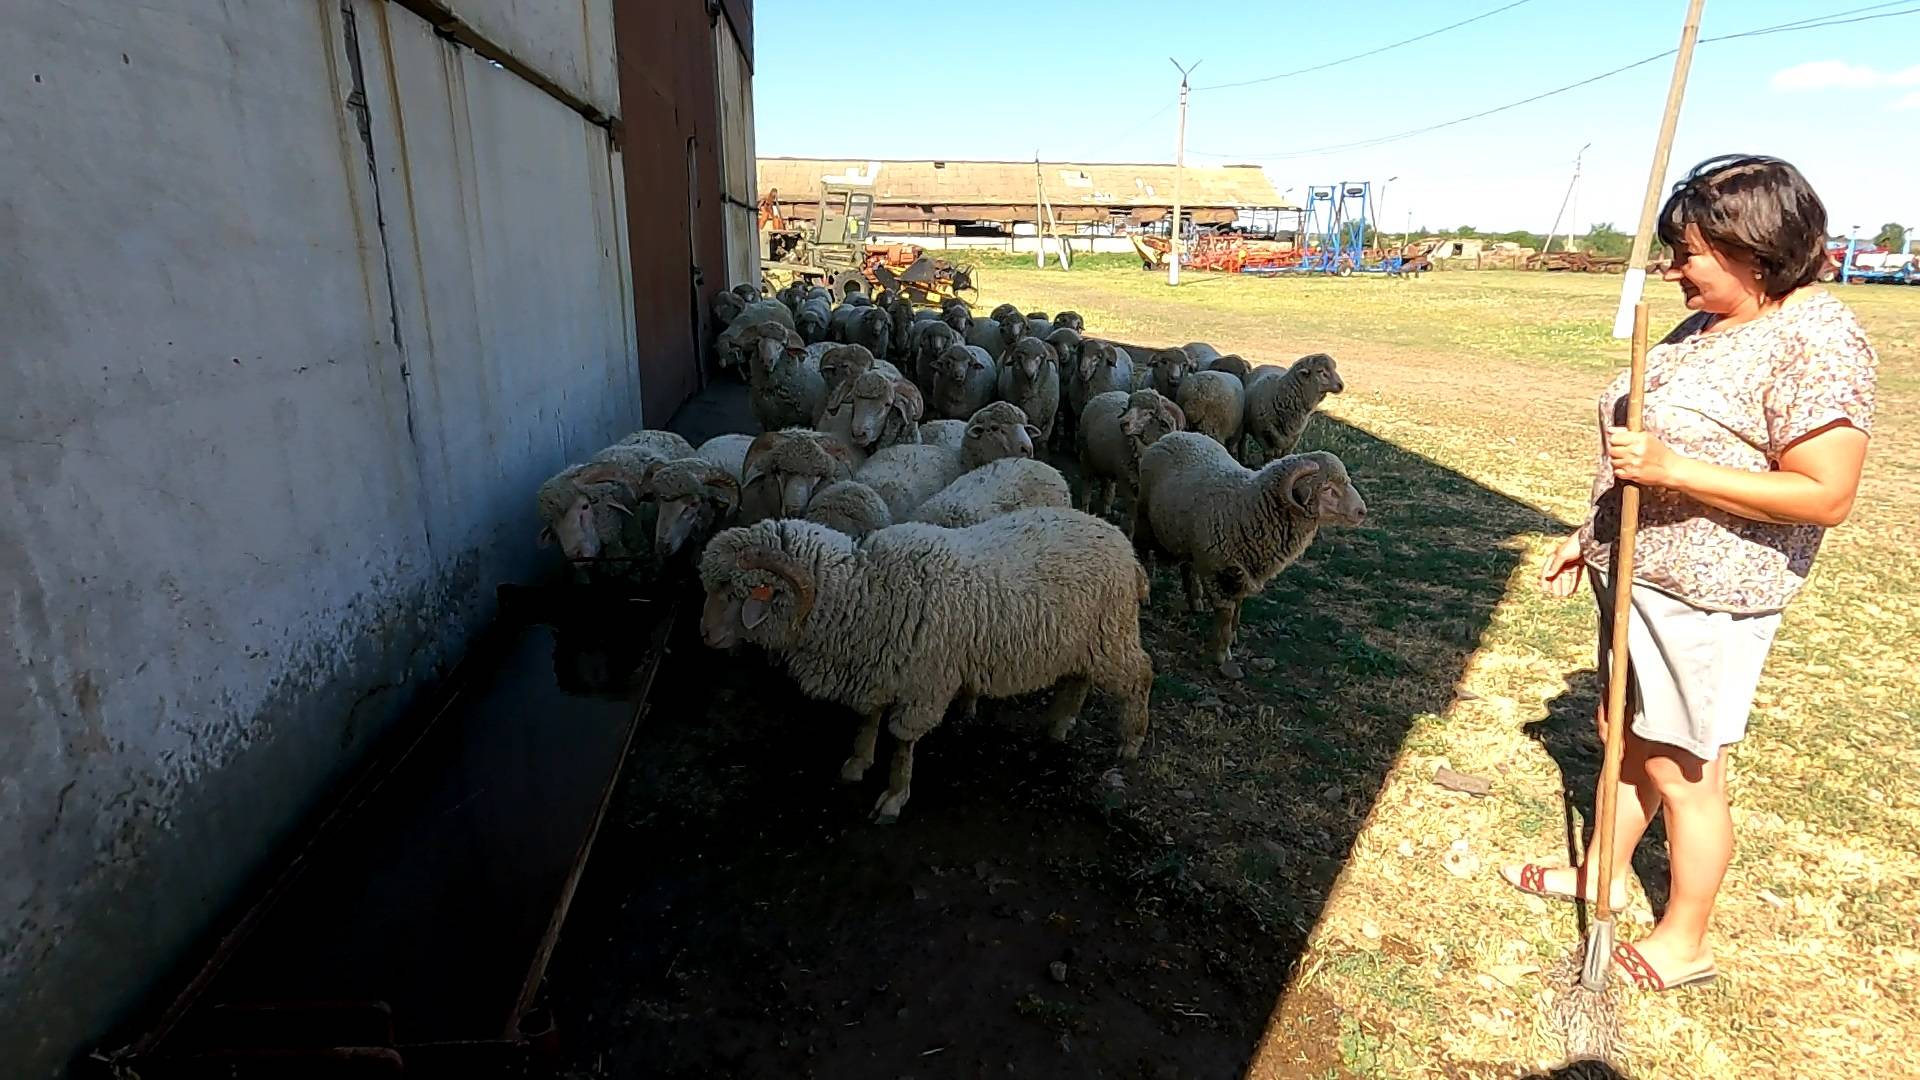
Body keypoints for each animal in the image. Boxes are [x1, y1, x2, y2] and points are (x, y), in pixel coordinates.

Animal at [696, 509, 1154, 822]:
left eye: (735, 592)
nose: (704, 635)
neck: (868, 594)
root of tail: (1126, 548)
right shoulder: (877, 670)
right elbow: (868, 720)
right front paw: (856, 763)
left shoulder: (924, 686)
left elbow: (902, 742)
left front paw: (894, 797)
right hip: (1084, 642)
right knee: (1078, 680)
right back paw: (1059, 724)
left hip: (1112, 635)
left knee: (1141, 675)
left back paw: (1131, 742)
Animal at [1076, 389, 1185, 522]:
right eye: (1130, 407)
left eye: (1149, 413)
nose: (1123, 423)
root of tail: (1105, 394)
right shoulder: (1126, 480)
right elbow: (1133, 511)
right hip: (1086, 456)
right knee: (1087, 484)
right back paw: (1085, 509)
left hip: (1107, 463)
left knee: (1108, 484)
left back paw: (1107, 508)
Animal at [1133, 433, 1367, 665]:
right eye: (1327, 489)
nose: (1362, 512)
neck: (1248, 506)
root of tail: (1174, 435)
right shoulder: (1217, 570)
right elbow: (1226, 614)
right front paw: (1221, 654)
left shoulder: (1243, 573)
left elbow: (1238, 609)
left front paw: (1233, 638)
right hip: (1144, 519)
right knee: (1143, 553)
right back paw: (1145, 596)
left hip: (1186, 538)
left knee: (1187, 567)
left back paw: (1195, 600)